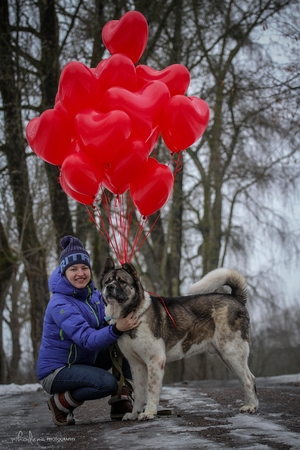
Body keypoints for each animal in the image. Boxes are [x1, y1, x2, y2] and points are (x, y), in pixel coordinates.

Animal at [99, 258, 258, 420]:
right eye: (107, 281)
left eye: (122, 281)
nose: (109, 287)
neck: (135, 312)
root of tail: (235, 298)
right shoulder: (136, 365)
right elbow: (139, 392)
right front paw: (134, 414)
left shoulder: (155, 360)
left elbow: (151, 390)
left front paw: (149, 412)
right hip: (227, 357)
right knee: (248, 378)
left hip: (232, 353)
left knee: (248, 380)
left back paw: (251, 406)